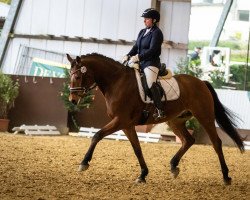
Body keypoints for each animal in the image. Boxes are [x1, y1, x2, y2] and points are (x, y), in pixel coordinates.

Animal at [66, 52, 244, 184]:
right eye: (70, 76)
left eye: (78, 77)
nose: (72, 100)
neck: (117, 82)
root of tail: (201, 82)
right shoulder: (127, 125)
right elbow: (137, 149)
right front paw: (143, 175)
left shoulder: (120, 120)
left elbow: (97, 135)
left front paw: (84, 163)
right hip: (175, 121)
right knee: (188, 140)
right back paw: (174, 166)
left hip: (204, 116)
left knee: (216, 143)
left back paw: (226, 176)